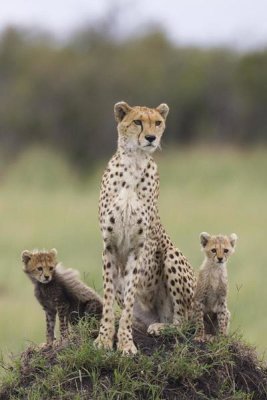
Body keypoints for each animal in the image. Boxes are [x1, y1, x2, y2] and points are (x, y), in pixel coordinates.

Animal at [95, 101, 196, 354]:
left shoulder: (137, 249)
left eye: (158, 123)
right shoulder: (109, 247)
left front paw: (126, 344)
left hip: (171, 255)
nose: (151, 138)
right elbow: (108, 298)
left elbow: (130, 298)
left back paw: (160, 328)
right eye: (138, 122)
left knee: (183, 322)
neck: (134, 162)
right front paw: (104, 339)